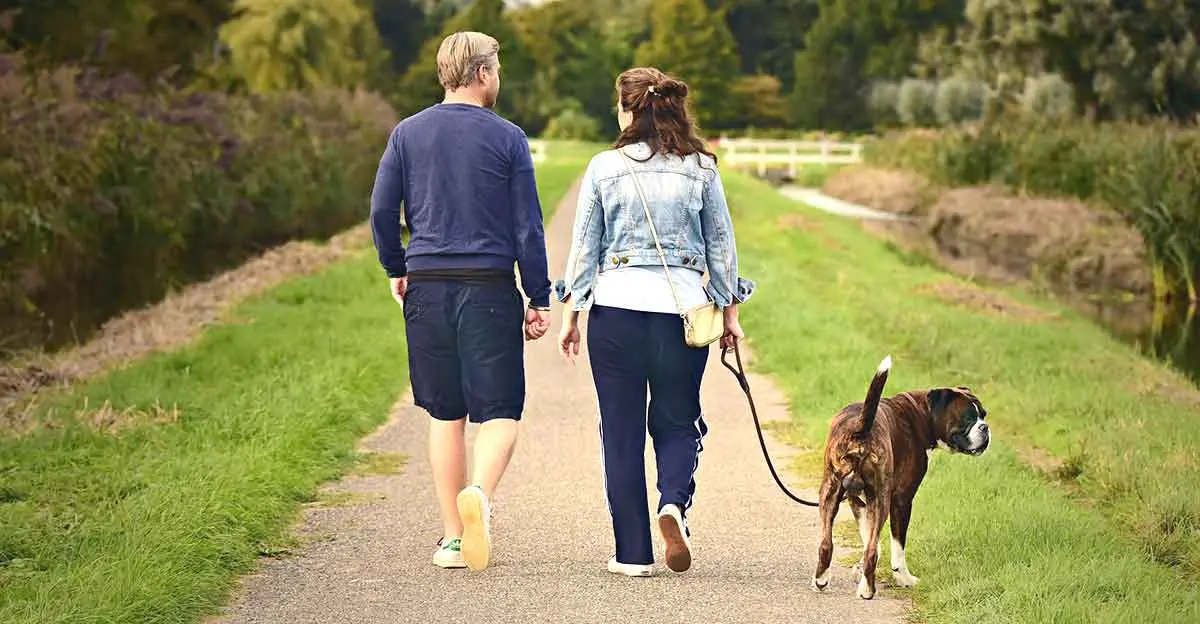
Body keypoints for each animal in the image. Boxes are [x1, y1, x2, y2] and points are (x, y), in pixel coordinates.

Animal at [811, 355, 988, 600]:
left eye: (984, 415)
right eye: (968, 418)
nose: (985, 427)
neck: (921, 414)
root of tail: (860, 428)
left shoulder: (858, 502)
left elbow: (870, 540)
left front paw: (861, 571)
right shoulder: (902, 500)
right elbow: (896, 548)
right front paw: (904, 578)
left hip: (830, 493)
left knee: (827, 544)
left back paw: (821, 580)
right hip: (882, 498)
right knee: (872, 549)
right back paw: (868, 591)